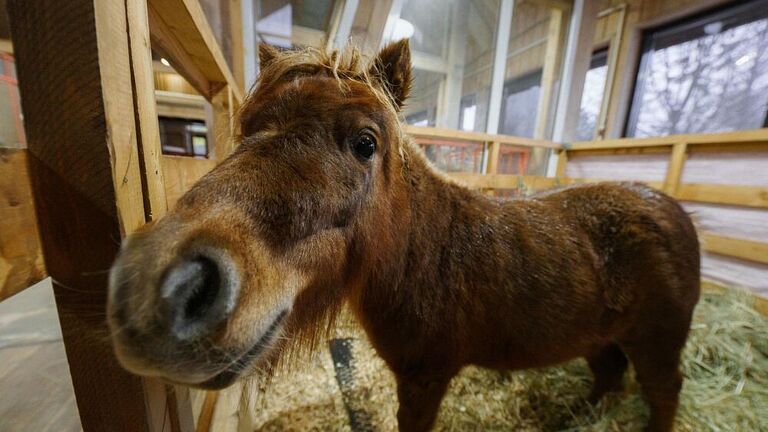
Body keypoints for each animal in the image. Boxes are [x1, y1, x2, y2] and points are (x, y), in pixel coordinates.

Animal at [108, 41, 704, 432]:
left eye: (366, 142)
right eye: (248, 130)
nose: (163, 288)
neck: (429, 253)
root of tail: (672, 211)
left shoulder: (425, 378)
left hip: (656, 343)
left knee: (662, 391)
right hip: (602, 339)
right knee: (609, 377)